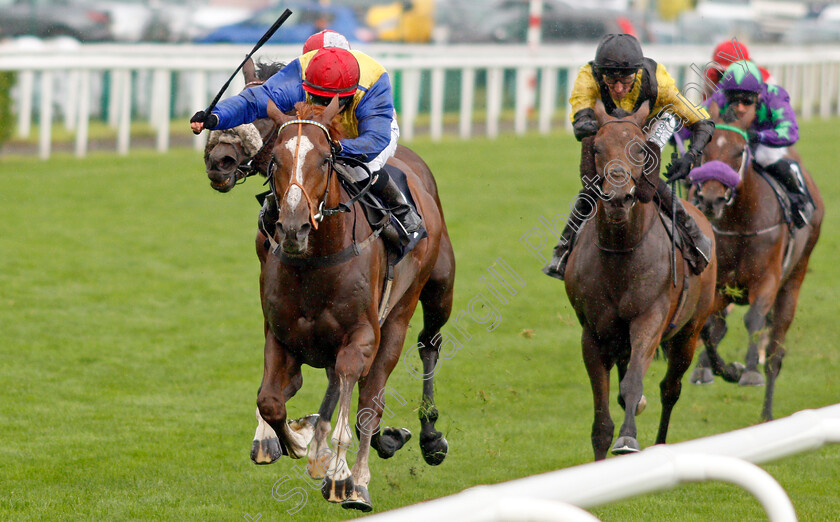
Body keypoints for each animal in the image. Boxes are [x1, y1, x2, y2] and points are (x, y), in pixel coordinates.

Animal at [254, 96, 456, 508]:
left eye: (323, 161)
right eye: (276, 160)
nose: (294, 228)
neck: (316, 261)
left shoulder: (361, 337)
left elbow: (356, 405)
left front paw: (342, 476)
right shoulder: (280, 336)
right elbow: (271, 400)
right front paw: (299, 441)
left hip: (427, 297)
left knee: (414, 356)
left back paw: (418, 444)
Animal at [560, 99, 720, 458]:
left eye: (640, 149)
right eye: (597, 148)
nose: (619, 197)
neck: (621, 254)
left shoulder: (650, 318)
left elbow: (634, 382)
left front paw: (628, 438)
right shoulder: (593, 334)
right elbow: (602, 420)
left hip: (689, 331)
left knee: (670, 388)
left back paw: (660, 442)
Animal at [692, 105, 824, 418]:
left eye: (740, 151)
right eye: (706, 148)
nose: (711, 199)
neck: (740, 223)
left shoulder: (767, 281)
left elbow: (753, 319)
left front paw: (750, 371)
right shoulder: (720, 286)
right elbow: (709, 328)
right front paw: (723, 369)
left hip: (793, 280)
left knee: (776, 352)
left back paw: (766, 414)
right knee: (720, 327)